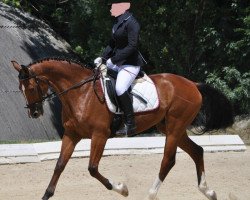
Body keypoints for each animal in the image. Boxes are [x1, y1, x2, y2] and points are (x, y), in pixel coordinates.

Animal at [11, 58, 234, 200]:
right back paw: (209, 192)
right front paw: (46, 195)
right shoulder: (72, 134)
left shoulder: (99, 135)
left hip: (174, 128)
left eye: (30, 87)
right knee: (197, 151)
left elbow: (92, 168)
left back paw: (151, 195)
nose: (34, 113)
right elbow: (59, 165)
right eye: (21, 89)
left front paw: (122, 189)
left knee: (168, 161)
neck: (81, 93)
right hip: (170, 128)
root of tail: (193, 84)